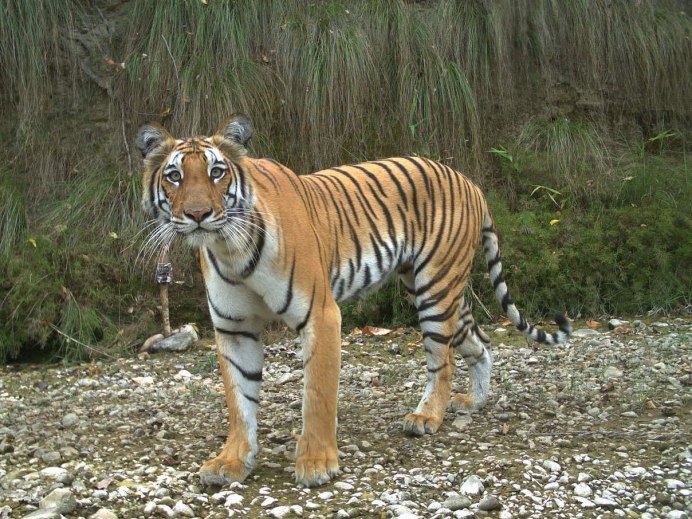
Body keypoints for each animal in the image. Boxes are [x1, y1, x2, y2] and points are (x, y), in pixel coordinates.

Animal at [135, 114, 571, 488]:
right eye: (174, 176)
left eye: (216, 172)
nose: (198, 214)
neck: (229, 248)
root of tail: (469, 180)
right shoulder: (233, 328)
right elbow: (239, 401)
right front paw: (231, 462)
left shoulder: (321, 314)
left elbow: (317, 394)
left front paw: (316, 463)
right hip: (436, 289)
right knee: (479, 343)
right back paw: (473, 401)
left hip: (435, 289)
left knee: (442, 362)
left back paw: (427, 416)